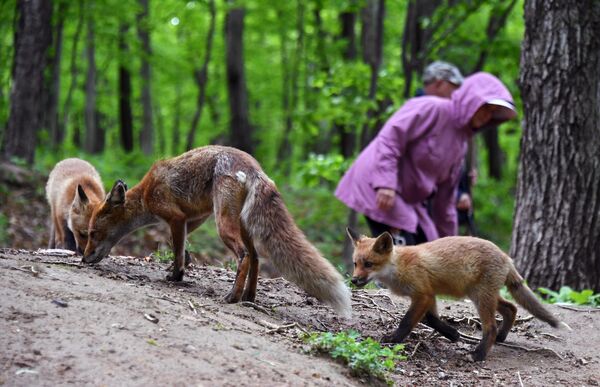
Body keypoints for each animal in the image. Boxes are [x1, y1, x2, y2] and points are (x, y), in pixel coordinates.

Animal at [80, 146, 352, 318]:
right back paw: (249, 297)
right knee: (256, 257)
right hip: (242, 224)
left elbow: (176, 248)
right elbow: (179, 246)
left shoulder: (176, 217)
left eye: (92, 233)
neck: (146, 193)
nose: (83, 259)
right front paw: (180, 267)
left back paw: (233, 296)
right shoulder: (195, 217)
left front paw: (176, 275)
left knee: (244, 256)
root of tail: (256, 168)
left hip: (223, 224)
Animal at [346, 229, 564, 362]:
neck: (398, 267)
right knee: (511, 307)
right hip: (481, 294)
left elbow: (407, 322)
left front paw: (393, 339)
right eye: (356, 263)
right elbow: (431, 319)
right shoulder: (429, 294)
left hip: (481, 298)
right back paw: (502, 337)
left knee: (491, 327)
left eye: (369, 264)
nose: (354, 280)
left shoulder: (422, 295)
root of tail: (506, 256)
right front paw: (452, 334)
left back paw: (479, 355)